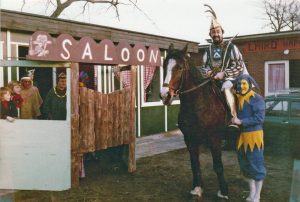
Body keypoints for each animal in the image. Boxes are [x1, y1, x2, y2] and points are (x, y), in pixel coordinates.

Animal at [159, 44, 230, 199]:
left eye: (179, 67)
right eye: (165, 65)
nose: (165, 95)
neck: (198, 104)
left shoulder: (214, 138)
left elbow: (218, 165)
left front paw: (223, 191)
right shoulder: (190, 138)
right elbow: (194, 163)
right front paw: (197, 188)